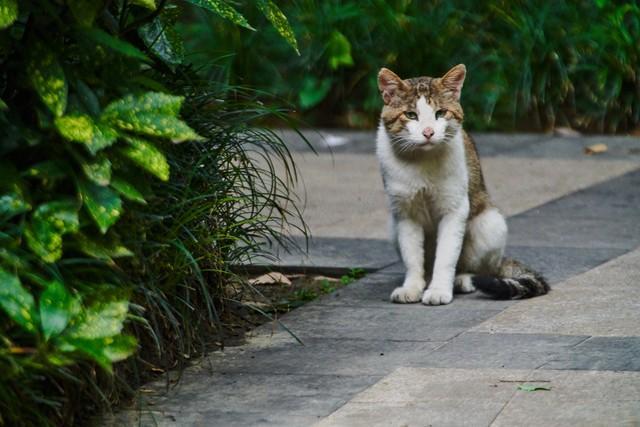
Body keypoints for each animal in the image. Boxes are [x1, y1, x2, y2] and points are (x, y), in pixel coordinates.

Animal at [378, 63, 548, 306]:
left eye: (440, 113)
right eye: (411, 115)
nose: (428, 132)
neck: (422, 161)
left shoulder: (455, 208)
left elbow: (446, 256)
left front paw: (439, 289)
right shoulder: (404, 211)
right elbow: (412, 256)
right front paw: (412, 287)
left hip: (490, 224)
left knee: (480, 268)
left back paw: (463, 279)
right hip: (392, 226)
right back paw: (426, 280)